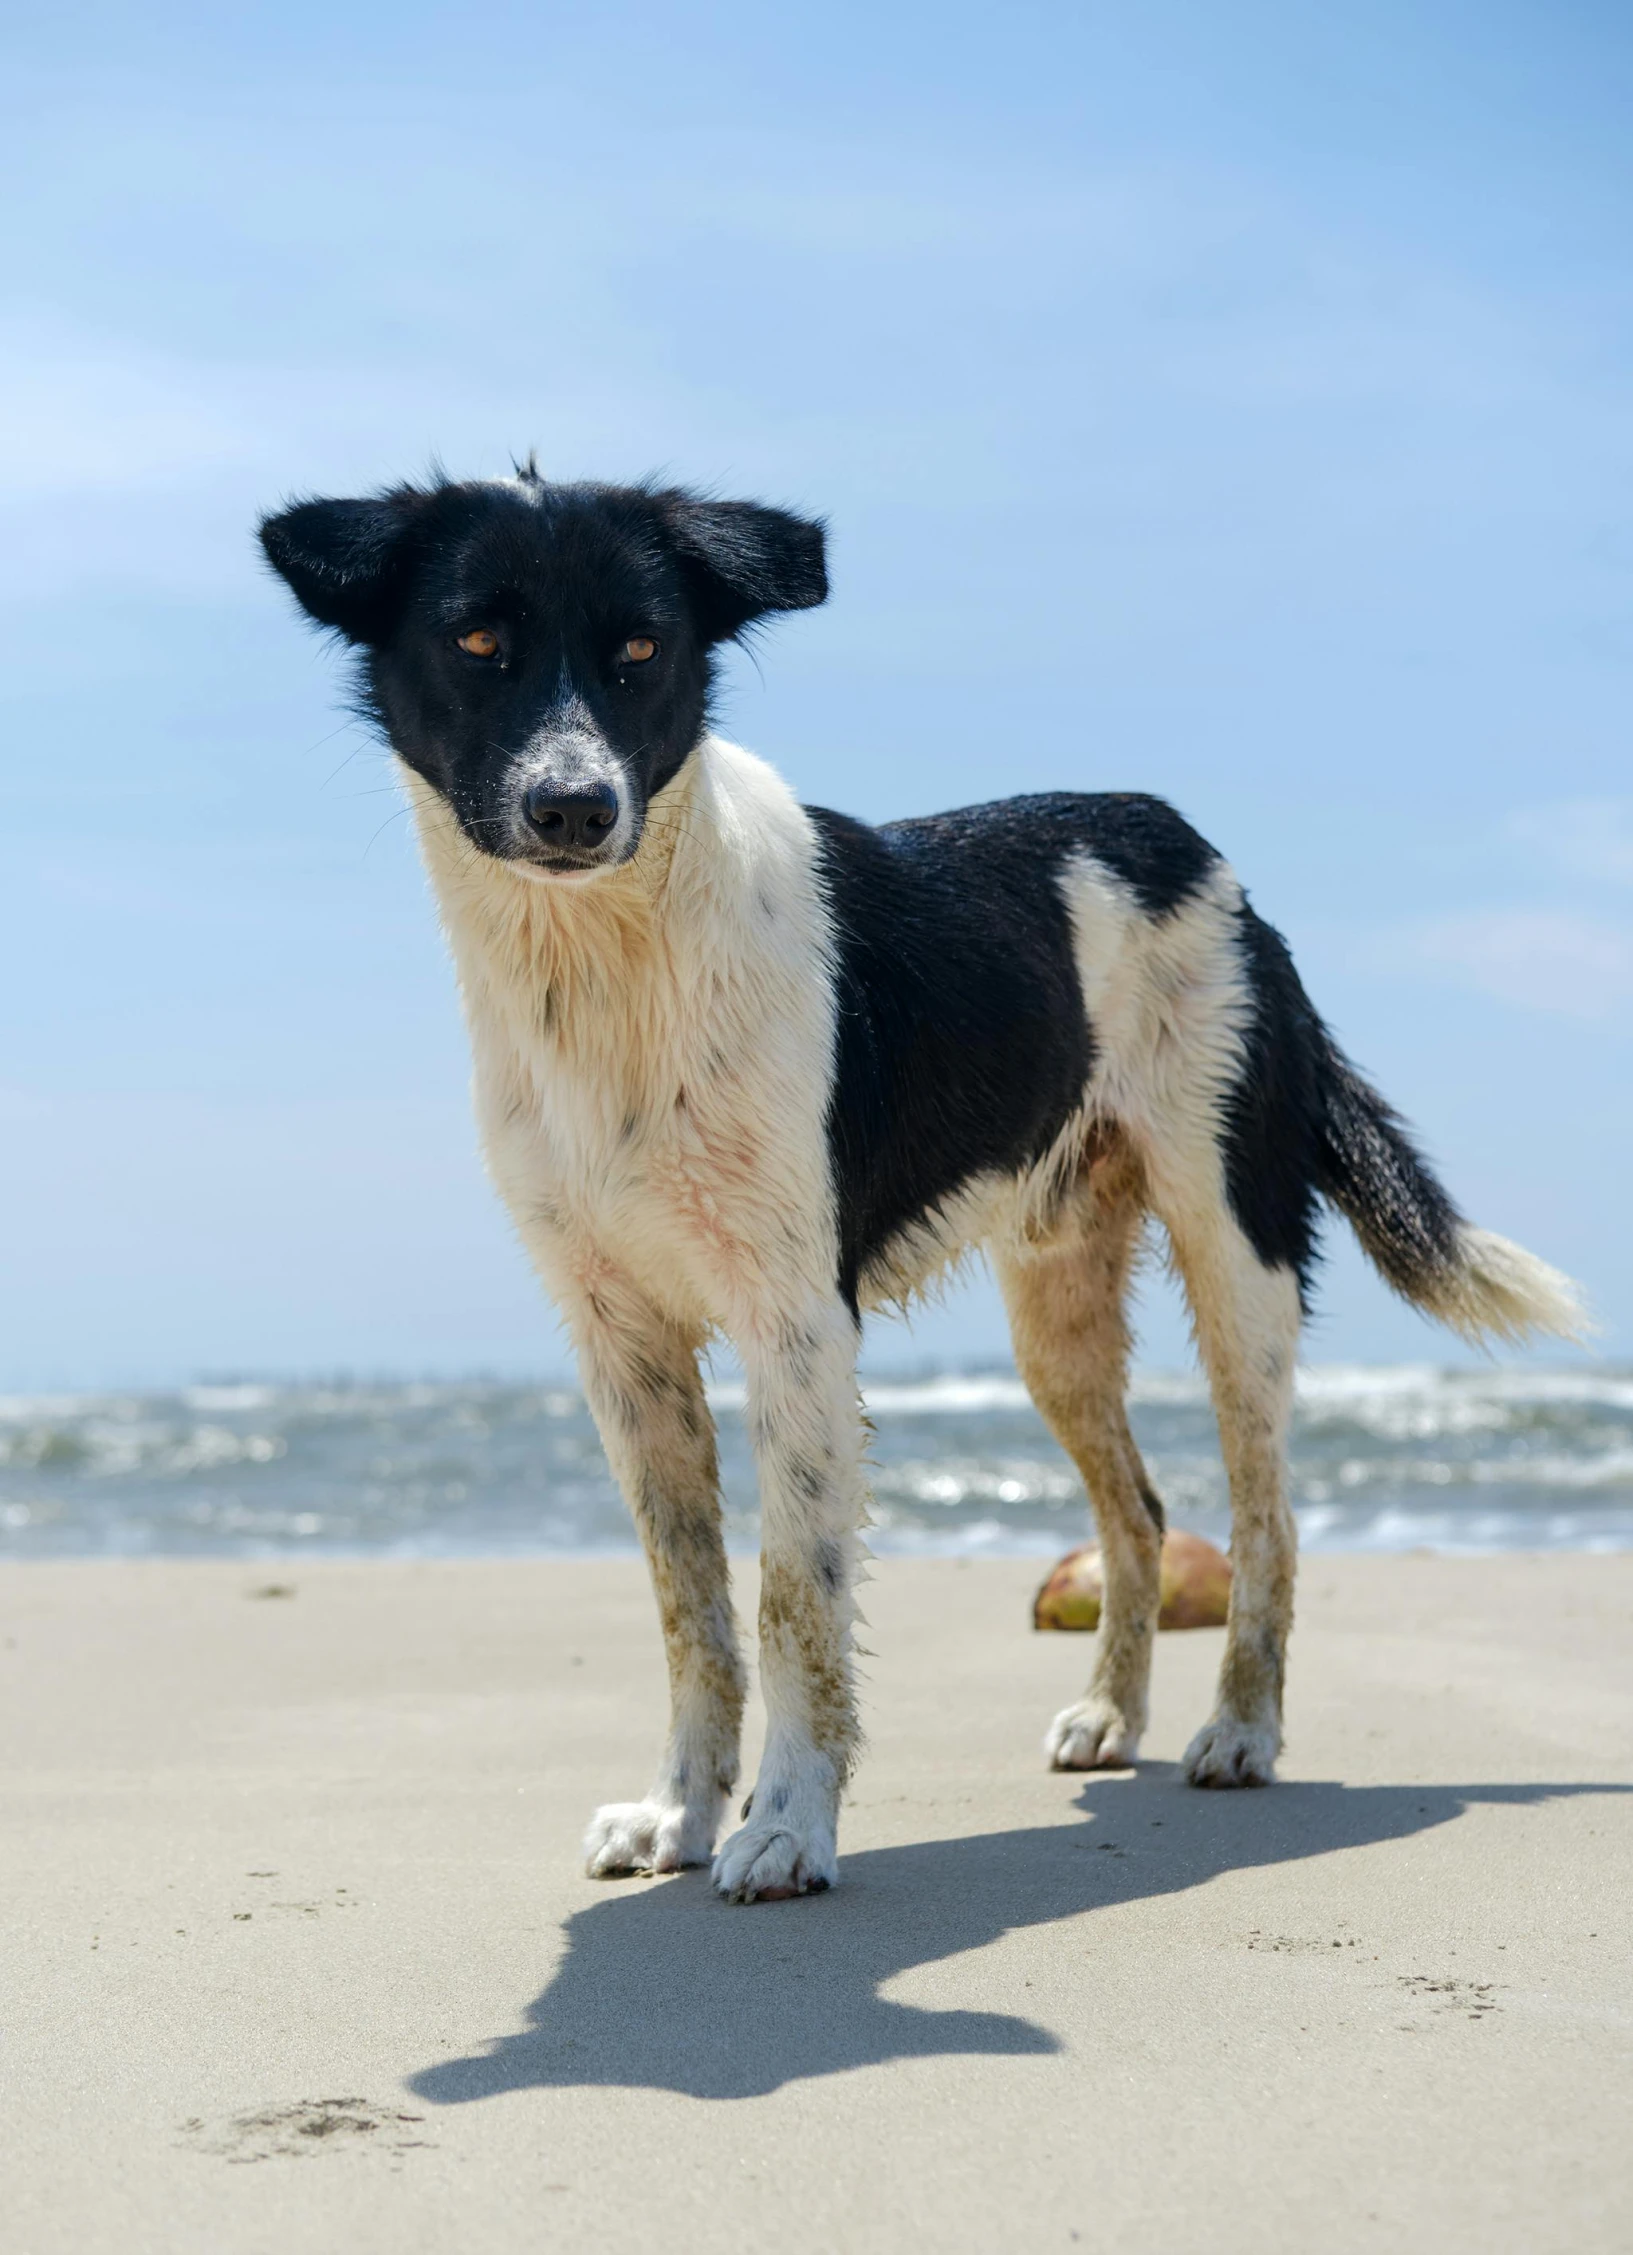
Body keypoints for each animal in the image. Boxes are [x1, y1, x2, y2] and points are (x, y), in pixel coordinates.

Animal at [261, 462, 1587, 1903]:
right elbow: (689, 1606)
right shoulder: (622, 1343)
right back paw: (1111, 1713)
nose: (574, 807)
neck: (608, 957)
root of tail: (1206, 858)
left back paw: (1239, 1728)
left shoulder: (795, 1323)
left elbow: (792, 1595)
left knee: (1266, 1514)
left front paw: (787, 1823)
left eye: (642, 650)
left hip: (1236, 1250)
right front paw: (675, 1809)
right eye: (476, 642)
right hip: (1056, 1308)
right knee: (1139, 1509)